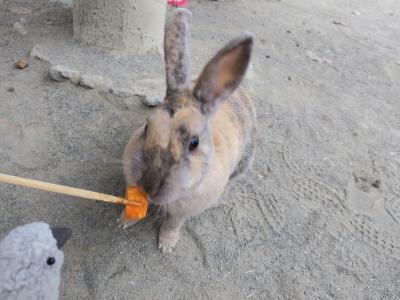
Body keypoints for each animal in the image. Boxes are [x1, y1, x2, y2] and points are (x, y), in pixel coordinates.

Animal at [119, 8, 256, 253]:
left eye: (194, 143)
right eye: (146, 126)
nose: (149, 185)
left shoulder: (185, 210)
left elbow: (173, 223)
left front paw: (166, 246)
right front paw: (124, 221)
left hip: (244, 162)